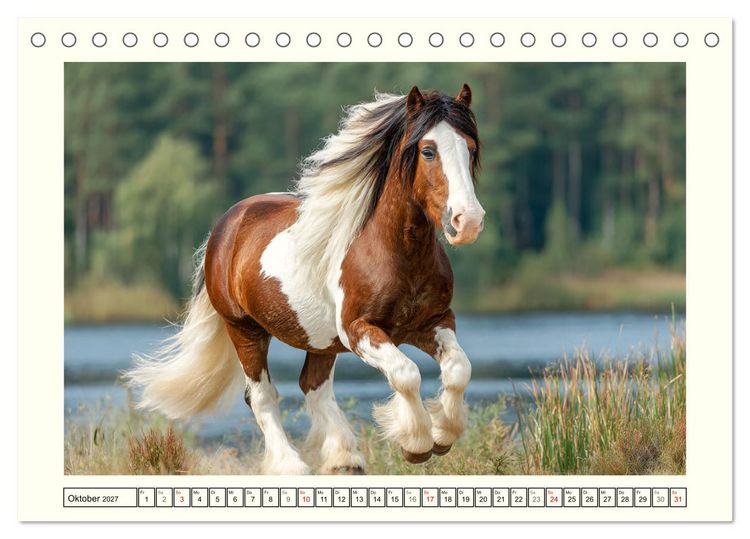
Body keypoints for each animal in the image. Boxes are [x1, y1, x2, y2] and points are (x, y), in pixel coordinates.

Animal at [125, 84, 485, 475]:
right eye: (428, 151)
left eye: (470, 148)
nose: (468, 221)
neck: (396, 253)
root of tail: (226, 224)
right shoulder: (360, 330)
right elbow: (406, 373)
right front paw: (416, 444)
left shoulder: (433, 321)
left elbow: (458, 369)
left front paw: (443, 436)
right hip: (245, 329)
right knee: (262, 396)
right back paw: (290, 465)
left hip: (321, 340)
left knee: (313, 386)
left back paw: (345, 458)